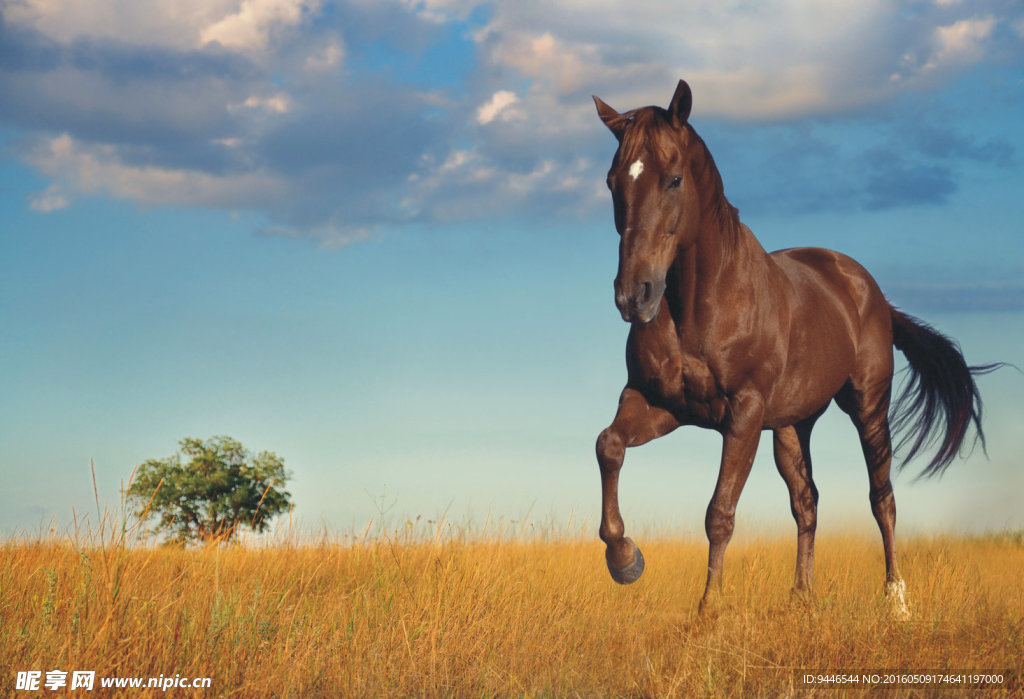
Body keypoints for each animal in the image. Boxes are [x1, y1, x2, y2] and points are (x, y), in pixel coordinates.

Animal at [589, 77, 995, 614]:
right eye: (613, 182)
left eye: (673, 179)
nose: (634, 295)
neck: (700, 303)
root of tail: (870, 292)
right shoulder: (659, 403)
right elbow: (609, 445)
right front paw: (625, 560)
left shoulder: (742, 413)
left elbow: (719, 511)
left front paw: (708, 610)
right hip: (791, 426)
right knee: (807, 501)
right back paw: (801, 596)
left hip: (868, 407)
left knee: (881, 498)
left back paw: (896, 602)